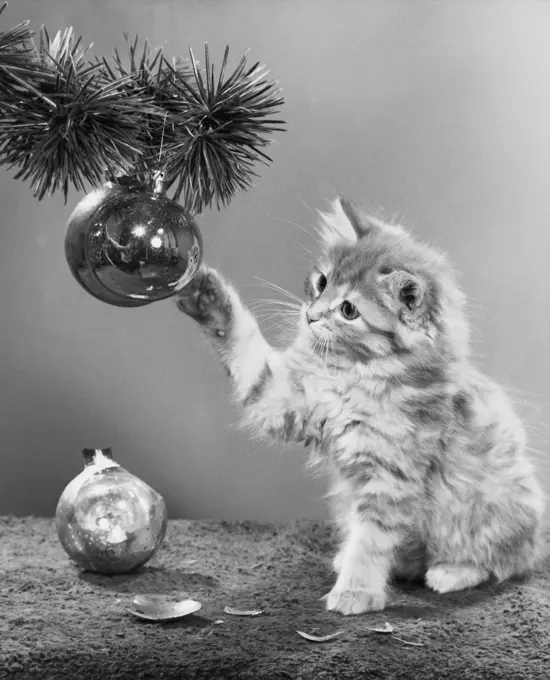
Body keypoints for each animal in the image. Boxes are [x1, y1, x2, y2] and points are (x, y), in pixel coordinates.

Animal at [177, 197, 548, 616]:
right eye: (321, 283)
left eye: (349, 310)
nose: (311, 315)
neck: (353, 376)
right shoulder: (284, 397)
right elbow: (246, 352)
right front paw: (207, 297)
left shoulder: (391, 477)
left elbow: (371, 542)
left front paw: (356, 591)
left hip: (493, 510)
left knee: (504, 563)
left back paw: (451, 572)